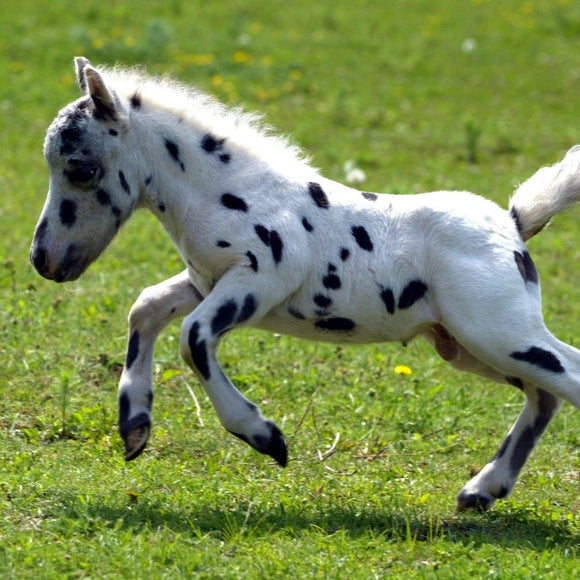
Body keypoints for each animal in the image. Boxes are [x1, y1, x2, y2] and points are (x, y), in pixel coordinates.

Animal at [29, 60, 580, 512]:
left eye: (80, 168)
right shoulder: (205, 280)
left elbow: (193, 337)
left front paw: (264, 436)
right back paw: (482, 489)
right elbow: (145, 309)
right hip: (466, 346)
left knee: (563, 378)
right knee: (544, 396)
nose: (43, 259)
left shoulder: (259, 278)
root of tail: (513, 224)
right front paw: (134, 425)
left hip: (497, 333)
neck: (231, 192)